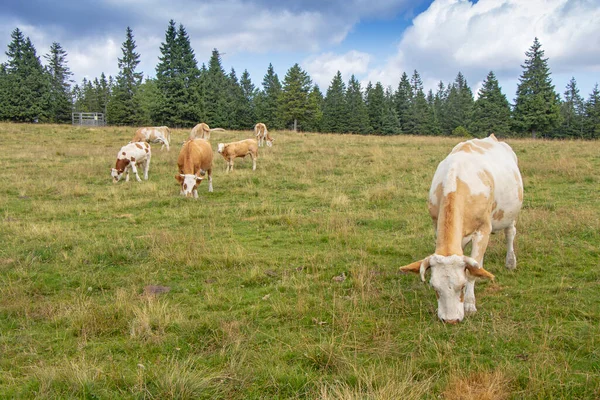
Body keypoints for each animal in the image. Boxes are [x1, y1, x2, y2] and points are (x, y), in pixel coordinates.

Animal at [400, 136, 524, 324]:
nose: (450, 320)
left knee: (510, 233)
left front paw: (470, 304)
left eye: (463, 285)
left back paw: (510, 262)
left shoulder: (483, 230)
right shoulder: (437, 226)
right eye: (434, 287)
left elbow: (474, 270)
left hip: (510, 213)